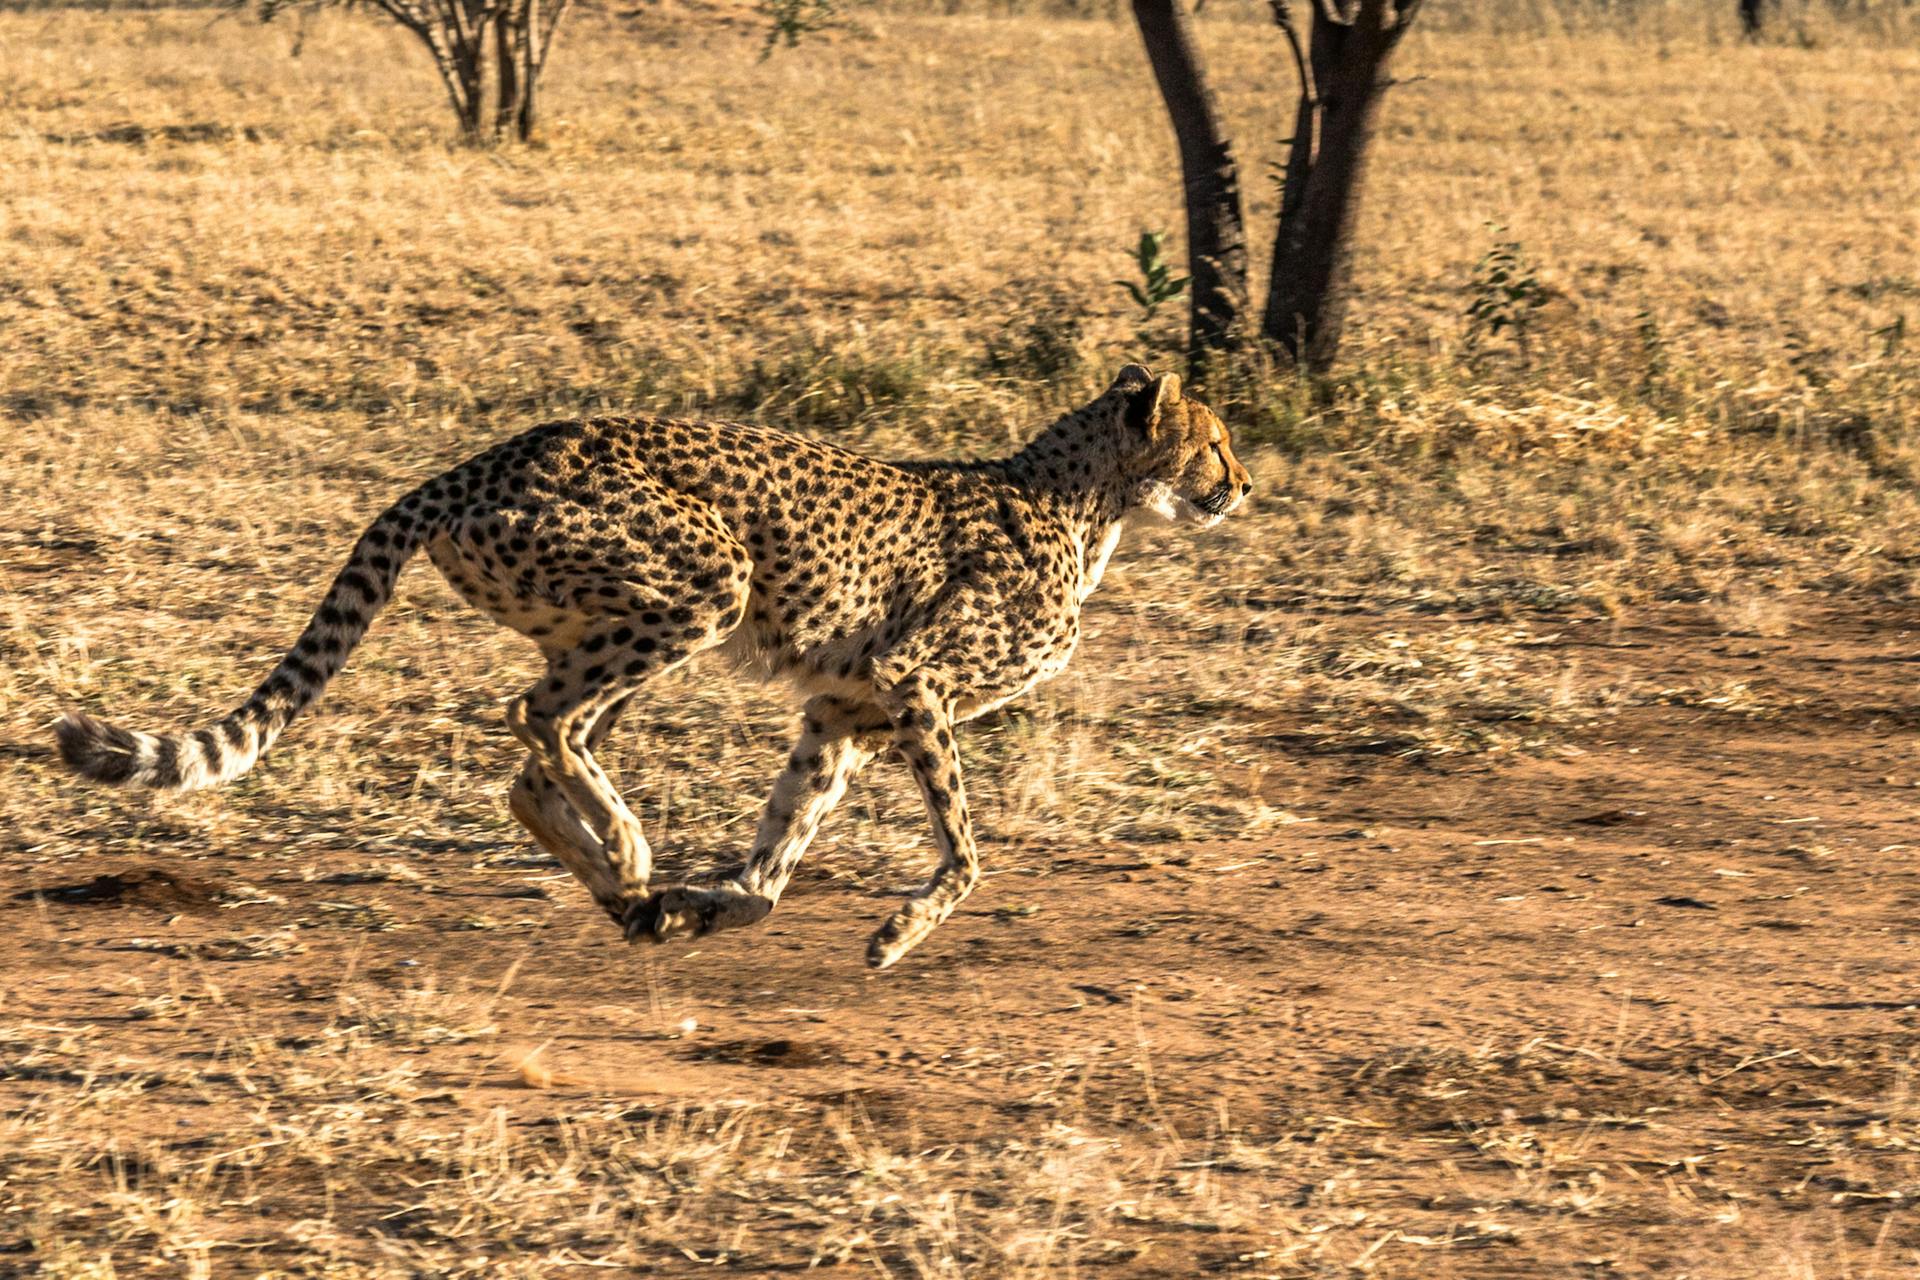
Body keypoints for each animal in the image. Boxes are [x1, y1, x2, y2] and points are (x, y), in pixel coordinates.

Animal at [52, 364, 1251, 967]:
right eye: (1216, 440)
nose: (1243, 484)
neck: (1086, 501)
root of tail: (492, 453)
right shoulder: (913, 682)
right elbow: (964, 852)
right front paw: (895, 933)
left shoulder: (846, 708)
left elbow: (782, 848)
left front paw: (709, 905)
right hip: (705, 581)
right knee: (538, 718)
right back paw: (627, 850)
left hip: (616, 622)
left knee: (532, 755)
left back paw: (625, 888)